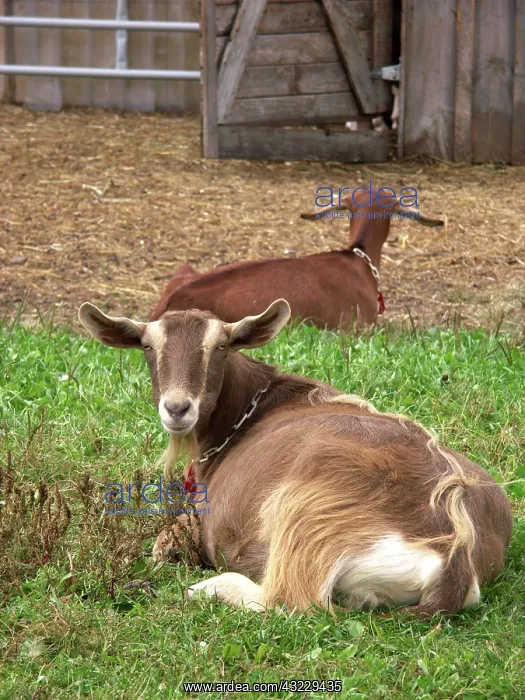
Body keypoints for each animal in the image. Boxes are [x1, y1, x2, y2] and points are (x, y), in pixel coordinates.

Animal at [79, 299, 512, 619]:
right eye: (148, 347)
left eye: (221, 346)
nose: (177, 408)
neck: (250, 413)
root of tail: (455, 555)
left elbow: (163, 544)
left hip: (307, 515)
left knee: (291, 601)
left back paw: (208, 588)